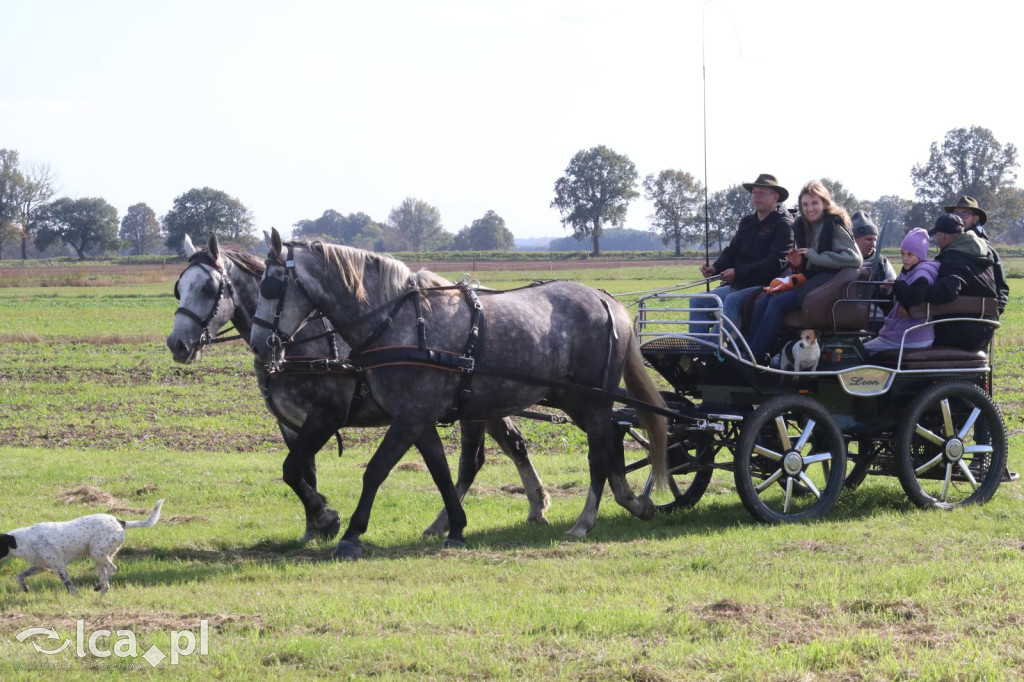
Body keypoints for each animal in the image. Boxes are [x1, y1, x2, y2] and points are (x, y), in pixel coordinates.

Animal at [0, 497, 162, 593]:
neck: (23, 540)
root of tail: (120, 521)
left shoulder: (59, 567)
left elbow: (69, 584)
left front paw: (75, 594)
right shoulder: (41, 567)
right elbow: (19, 576)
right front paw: (24, 588)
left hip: (97, 553)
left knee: (113, 569)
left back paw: (98, 586)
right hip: (99, 559)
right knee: (106, 582)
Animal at [165, 233, 552, 540]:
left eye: (208, 288)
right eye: (179, 288)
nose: (177, 344)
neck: (303, 338)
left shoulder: (326, 416)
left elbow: (292, 469)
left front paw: (326, 518)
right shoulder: (291, 424)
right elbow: (302, 472)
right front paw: (315, 524)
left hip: (475, 407)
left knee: (479, 459)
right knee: (508, 447)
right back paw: (525, 507)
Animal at [250, 228, 667, 557]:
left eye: (271, 286)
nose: (258, 344)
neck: (398, 323)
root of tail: (604, 299)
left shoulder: (405, 416)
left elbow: (376, 470)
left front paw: (350, 533)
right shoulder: (417, 417)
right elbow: (441, 470)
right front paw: (455, 528)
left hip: (592, 398)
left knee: (599, 453)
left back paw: (585, 520)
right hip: (573, 400)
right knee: (610, 441)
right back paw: (631, 502)